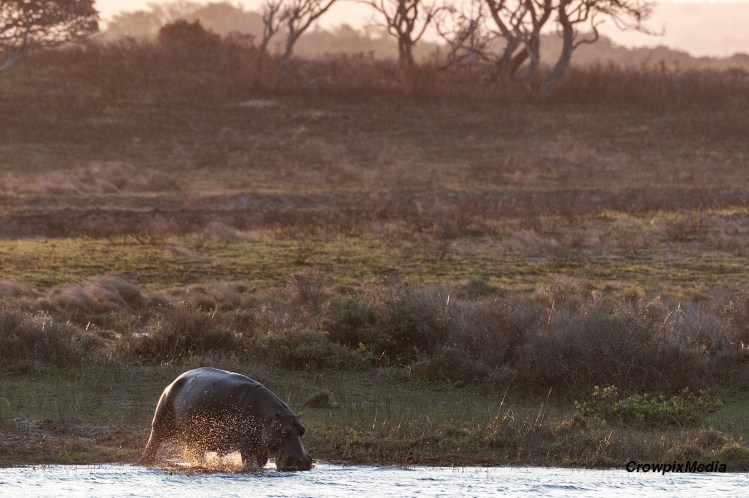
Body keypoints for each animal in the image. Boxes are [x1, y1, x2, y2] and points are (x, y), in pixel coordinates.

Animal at [139, 367, 313, 471]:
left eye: (303, 430)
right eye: (284, 431)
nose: (302, 462)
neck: (268, 416)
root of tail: (172, 382)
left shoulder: (261, 443)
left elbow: (261, 461)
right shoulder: (246, 442)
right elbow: (249, 461)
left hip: (196, 439)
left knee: (196, 453)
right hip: (161, 423)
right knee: (154, 442)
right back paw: (145, 462)